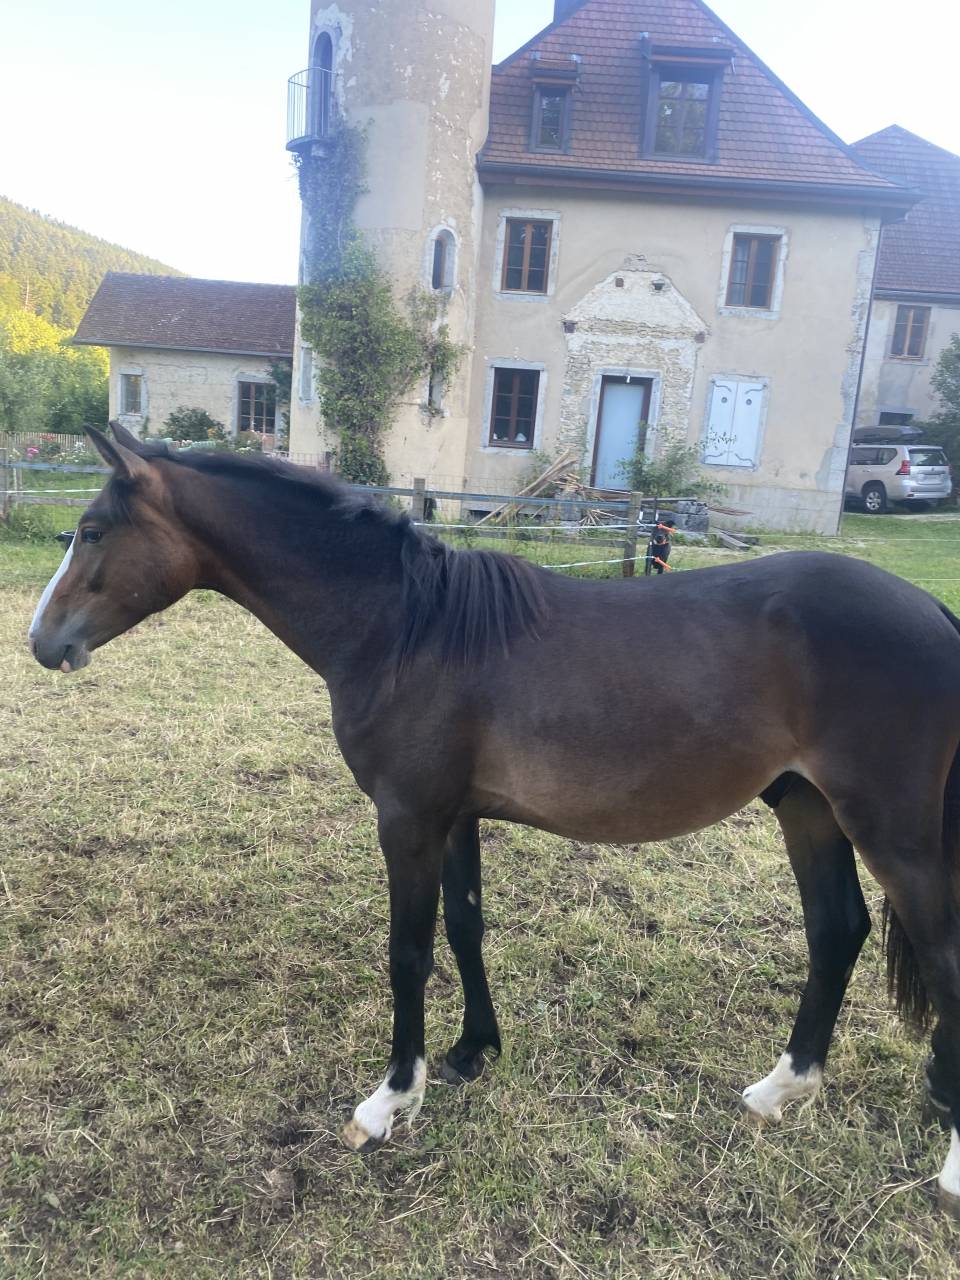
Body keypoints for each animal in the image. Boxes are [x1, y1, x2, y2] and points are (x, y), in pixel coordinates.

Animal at [27, 422, 960, 1217]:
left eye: (94, 531)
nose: (42, 641)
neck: (407, 629)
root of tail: (932, 613)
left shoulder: (407, 819)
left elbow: (407, 953)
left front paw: (390, 1100)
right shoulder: (455, 817)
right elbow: (466, 926)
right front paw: (475, 1049)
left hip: (892, 832)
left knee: (939, 954)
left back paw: (946, 1163)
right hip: (809, 809)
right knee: (836, 932)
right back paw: (783, 1088)